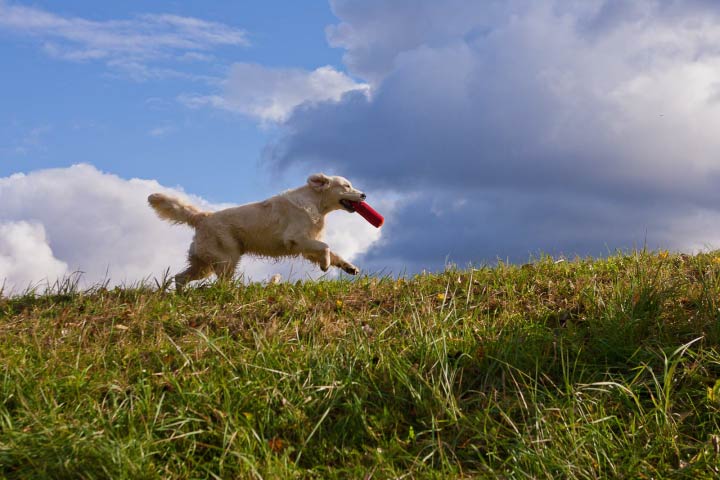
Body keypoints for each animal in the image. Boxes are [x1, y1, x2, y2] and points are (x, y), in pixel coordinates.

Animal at [150, 174, 368, 290]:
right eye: (346, 186)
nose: (364, 194)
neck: (315, 202)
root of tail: (203, 216)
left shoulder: (307, 244)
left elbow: (333, 251)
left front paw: (349, 267)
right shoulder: (296, 238)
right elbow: (326, 246)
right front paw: (325, 265)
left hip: (204, 264)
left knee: (179, 277)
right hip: (226, 259)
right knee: (220, 283)